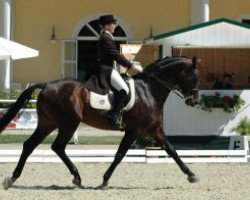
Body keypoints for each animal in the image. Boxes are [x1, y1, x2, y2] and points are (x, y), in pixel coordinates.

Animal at [0, 55, 199, 189]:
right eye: (193, 77)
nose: (195, 101)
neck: (148, 90)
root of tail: (47, 84)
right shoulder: (134, 130)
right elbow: (119, 155)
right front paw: (104, 180)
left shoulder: (153, 129)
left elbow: (172, 150)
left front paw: (191, 175)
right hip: (69, 123)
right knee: (57, 147)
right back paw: (77, 178)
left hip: (48, 123)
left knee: (30, 145)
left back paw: (12, 178)